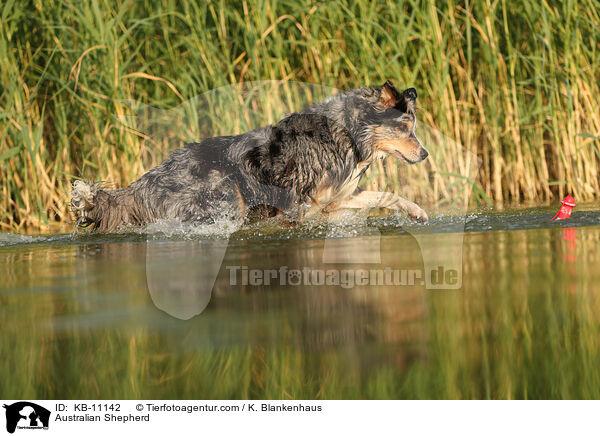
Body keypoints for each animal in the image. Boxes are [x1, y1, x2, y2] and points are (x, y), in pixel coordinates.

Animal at [72, 80, 428, 233]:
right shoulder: (305, 203)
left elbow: (386, 195)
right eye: (405, 127)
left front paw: (418, 212)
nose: (425, 154)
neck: (351, 136)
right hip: (227, 197)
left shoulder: (340, 196)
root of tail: (145, 180)